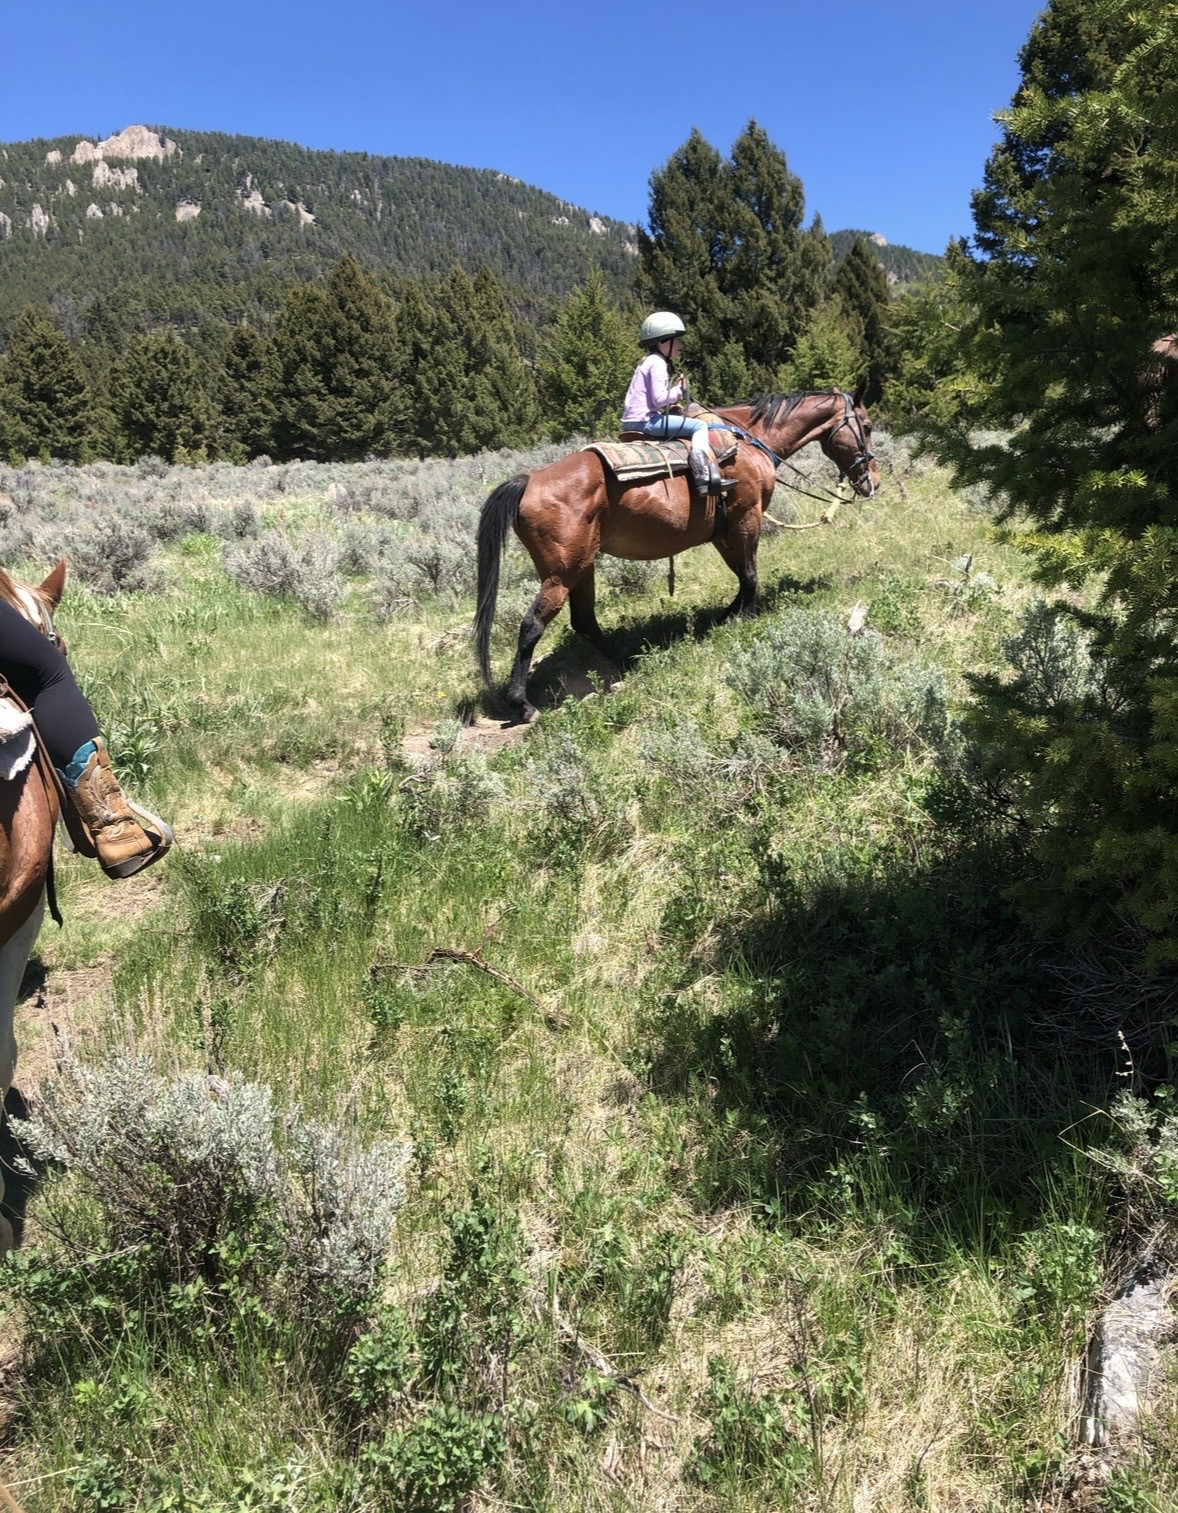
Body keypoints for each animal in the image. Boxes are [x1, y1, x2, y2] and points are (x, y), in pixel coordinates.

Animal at [475, 384, 880, 723]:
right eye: (868, 425)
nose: (872, 481)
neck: (750, 442)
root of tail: (528, 481)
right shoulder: (746, 518)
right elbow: (750, 575)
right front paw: (745, 619)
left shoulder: (722, 531)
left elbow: (740, 575)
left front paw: (727, 616)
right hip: (562, 573)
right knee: (532, 625)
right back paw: (523, 705)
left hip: (583, 567)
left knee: (585, 621)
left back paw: (630, 660)